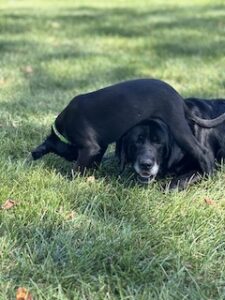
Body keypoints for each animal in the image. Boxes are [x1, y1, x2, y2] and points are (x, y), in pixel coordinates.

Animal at [30, 78, 225, 175]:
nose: (71, 157)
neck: (63, 129)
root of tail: (179, 98)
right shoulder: (100, 145)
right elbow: (95, 160)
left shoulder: (89, 146)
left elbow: (78, 167)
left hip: (177, 127)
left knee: (202, 152)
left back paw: (208, 176)